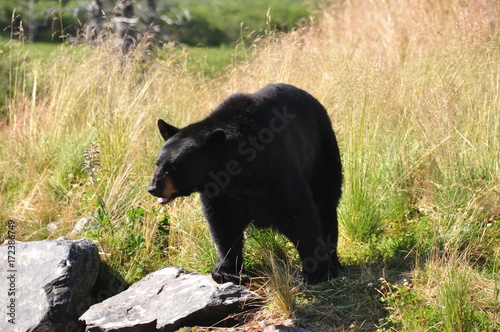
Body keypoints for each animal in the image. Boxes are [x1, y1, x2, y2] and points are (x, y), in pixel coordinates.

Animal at [148, 84, 342, 284]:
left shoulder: (275, 170)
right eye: (158, 163)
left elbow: (299, 214)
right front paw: (226, 271)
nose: (153, 188)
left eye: (173, 166)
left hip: (320, 151)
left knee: (325, 202)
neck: (237, 174)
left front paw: (317, 270)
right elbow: (224, 225)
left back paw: (333, 260)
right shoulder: (222, 194)